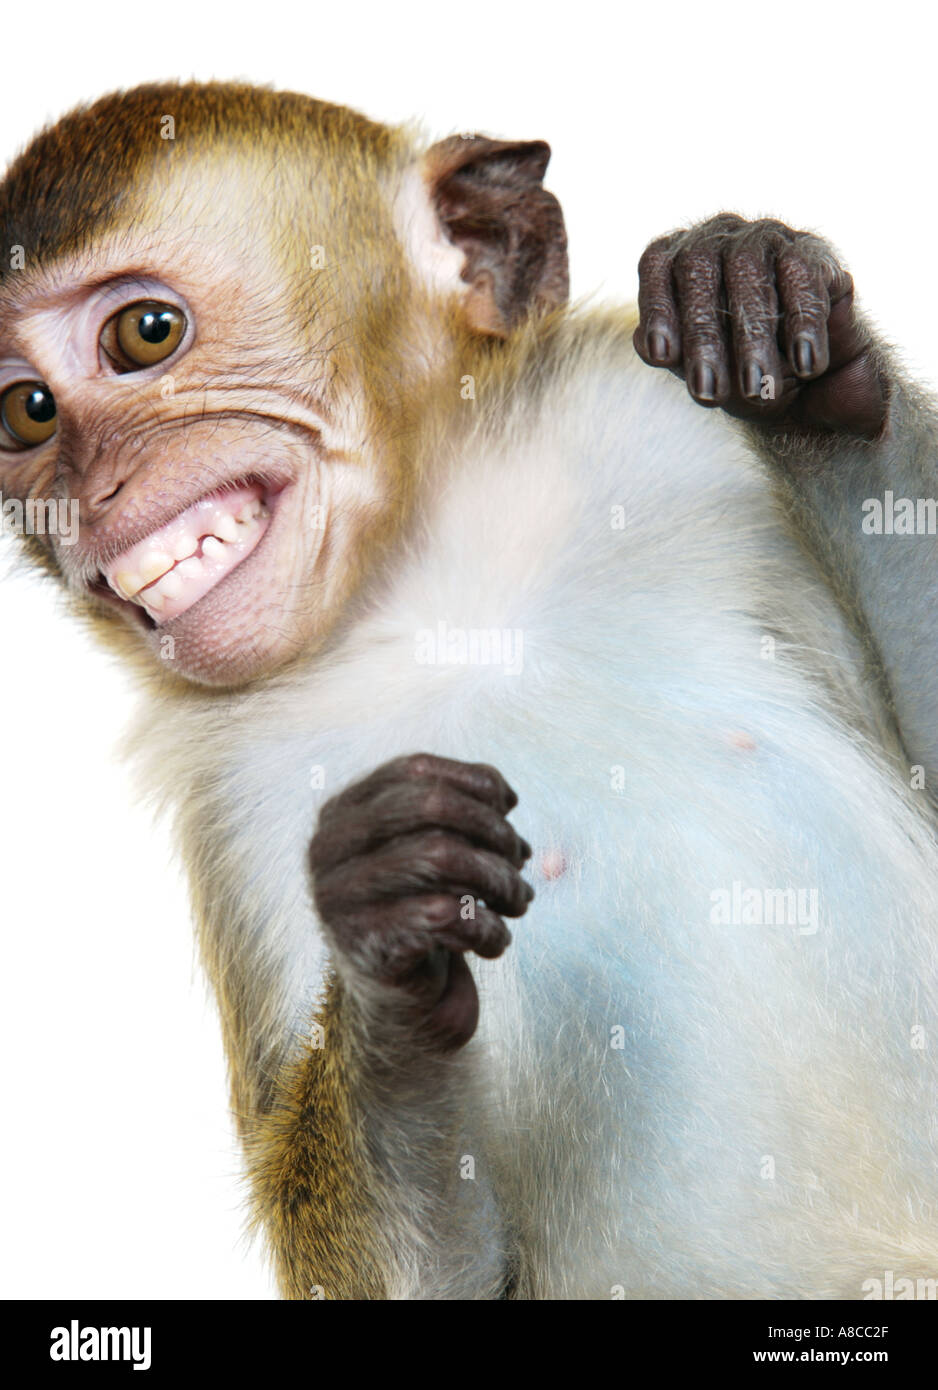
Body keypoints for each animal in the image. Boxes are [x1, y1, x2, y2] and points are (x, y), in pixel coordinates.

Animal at [1, 81, 937, 1302]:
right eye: (25, 410)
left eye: (144, 335)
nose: (85, 498)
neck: (432, 589)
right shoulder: (236, 803)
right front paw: (386, 939)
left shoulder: (664, 446)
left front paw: (786, 338)